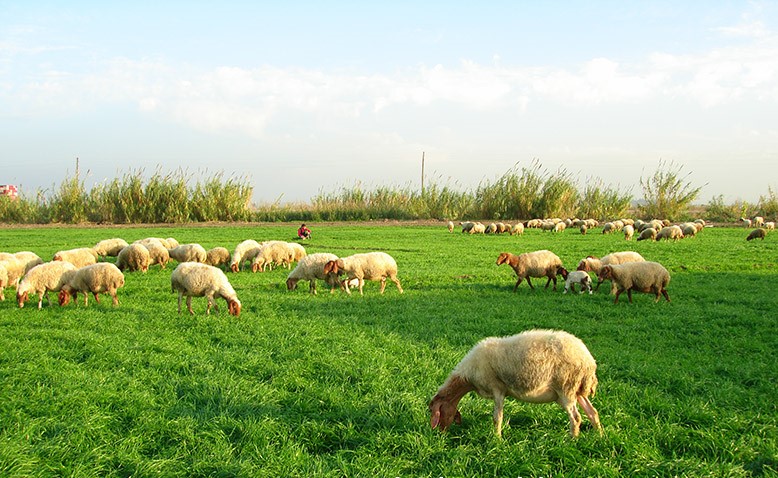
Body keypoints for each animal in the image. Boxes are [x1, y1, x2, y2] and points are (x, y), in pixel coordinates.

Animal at [424, 330, 600, 438]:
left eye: (435, 411)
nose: (440, 434)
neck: (468, 376)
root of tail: (589, 361)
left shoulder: (497, 389)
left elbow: (497, 417)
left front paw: (497, 438)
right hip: (576, 390)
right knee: (593, 412)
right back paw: (599, 436)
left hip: (566, 388)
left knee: (576, 418)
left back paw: (571, 440)